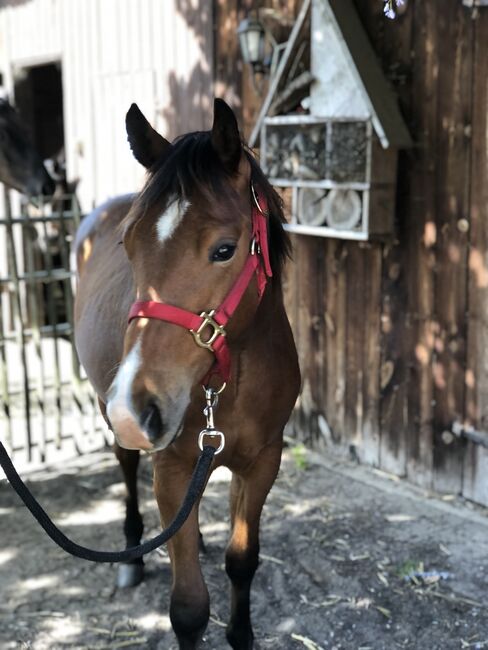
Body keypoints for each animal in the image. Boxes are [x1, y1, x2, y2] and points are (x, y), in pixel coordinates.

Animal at [74, 98, 300, 644]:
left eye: (224, 249)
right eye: (128, 245)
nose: (137, 407)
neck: (230, 385)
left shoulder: (263, 461)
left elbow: (242, 561)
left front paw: (242, 635)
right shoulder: (172, 468)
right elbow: (190, 608)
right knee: (125, 466)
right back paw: (132, 556)